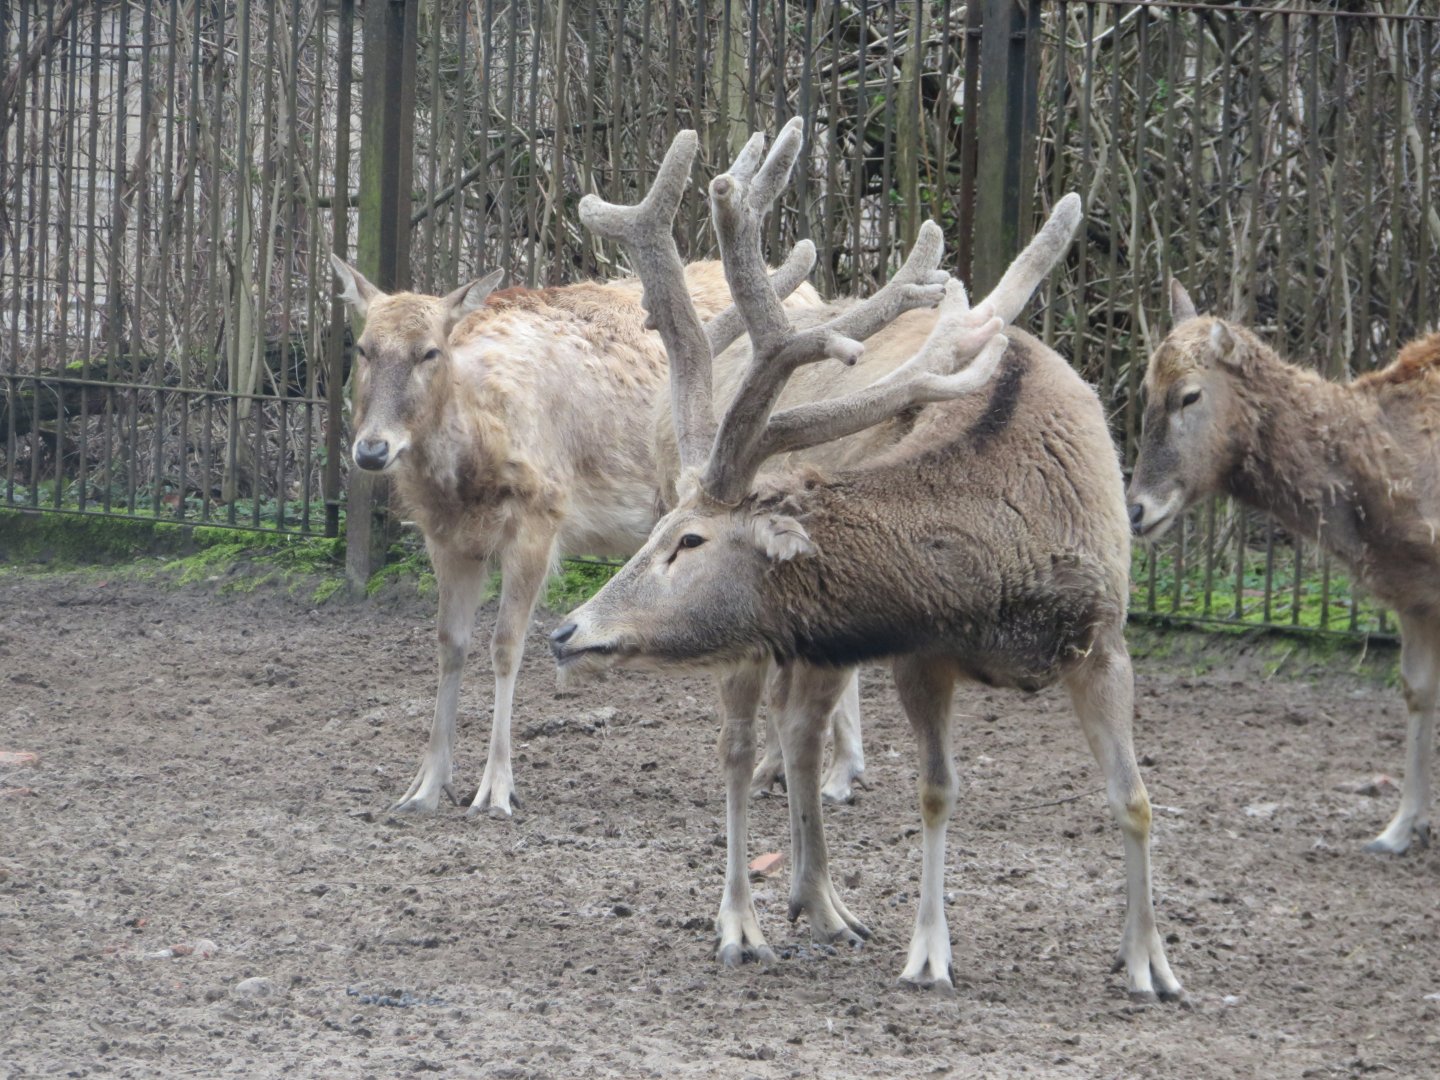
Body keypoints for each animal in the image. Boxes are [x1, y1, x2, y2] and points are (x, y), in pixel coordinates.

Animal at [327, 249, 849, 816]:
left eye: (429, 351)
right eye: (362, 347)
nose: (371, 450)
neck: (468, 468)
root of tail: (817, 296)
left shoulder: (540, 516)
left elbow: (506, 646)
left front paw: (496, 789)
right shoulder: (445, 538)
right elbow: (449, 645)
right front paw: (424, 787)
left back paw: (832, 775)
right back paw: (781, 771)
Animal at [549, 121, 1183, 1003]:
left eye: (689, 542)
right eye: (664, 532)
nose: (567, 630)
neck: (1004, 579)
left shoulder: (1105, 636)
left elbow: (1136, 798)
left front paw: (1151, 963)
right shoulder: (920, 649)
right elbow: (936, 791)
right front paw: (930, 953)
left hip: (818, 638)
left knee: (801, 731)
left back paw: (822, 905)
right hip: (754, 639)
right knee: (740, 748)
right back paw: (741, 923)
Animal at [1128, 281, 1440, 855]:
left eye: (1189, 395)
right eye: (1145, 390)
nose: (1136, 510)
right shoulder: (1414, 597)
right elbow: (1417, 691)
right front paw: (1399, 830)